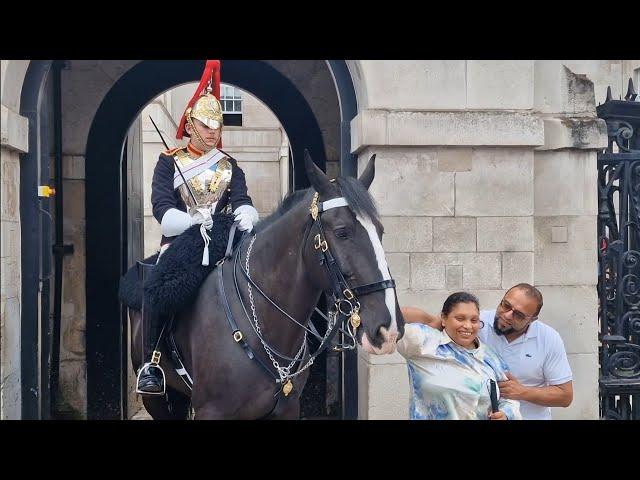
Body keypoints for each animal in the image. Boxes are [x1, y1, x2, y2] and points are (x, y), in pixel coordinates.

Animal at [127, 152, 402, 418]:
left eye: (380, 231)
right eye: (342, 232)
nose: (388, 329)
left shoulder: (288, 409)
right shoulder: (211, 411)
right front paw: (205, 221)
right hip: (157, 400)